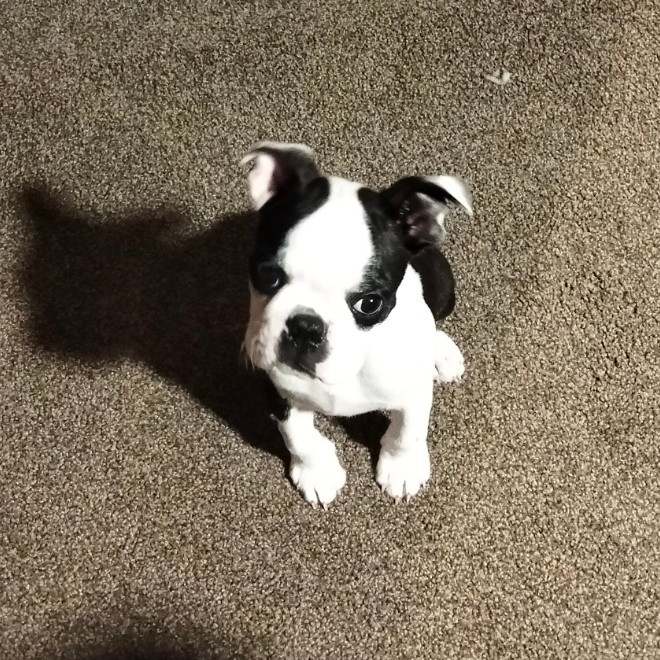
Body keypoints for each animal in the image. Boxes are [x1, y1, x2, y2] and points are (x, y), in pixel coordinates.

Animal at [241, 142, 472, 507]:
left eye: (370, 303)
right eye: (268, 276)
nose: (306, 327)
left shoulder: (414, 391)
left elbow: (408, 431)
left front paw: (402, 468)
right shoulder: (278, 387)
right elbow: (298, 435)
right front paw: (317, 472)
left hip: (444, 285)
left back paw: (441, 353)